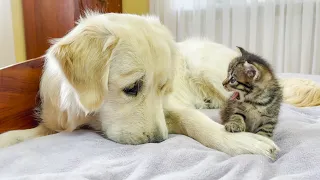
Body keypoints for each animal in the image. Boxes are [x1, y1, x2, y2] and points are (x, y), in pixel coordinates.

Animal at [0, 12, 282, 159]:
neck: (90, 117)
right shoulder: (55, 124)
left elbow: (194, 120)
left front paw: (244, 142)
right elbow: (20, 135)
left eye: (164, 87)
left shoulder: (171, 106)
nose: (158, 140)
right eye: (132, 87)